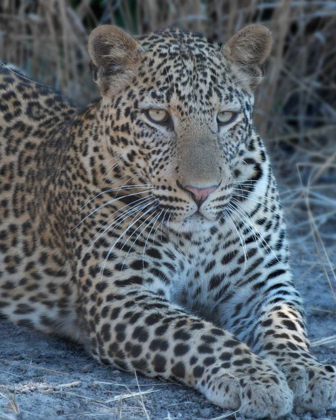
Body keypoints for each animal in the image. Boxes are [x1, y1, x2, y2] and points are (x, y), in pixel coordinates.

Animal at [0, 24, 334, 418]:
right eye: (158, 116)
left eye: (226, 117)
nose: (201, 192)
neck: (197, 238)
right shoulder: (123, 297)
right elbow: (198, 334)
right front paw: (254, 377)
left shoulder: (262, 283)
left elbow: (285, 325)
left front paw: (308, 371)